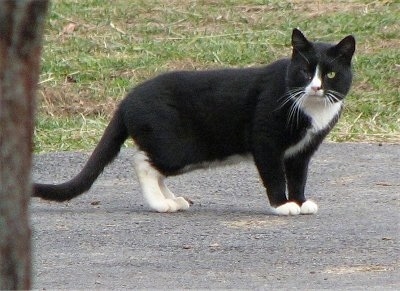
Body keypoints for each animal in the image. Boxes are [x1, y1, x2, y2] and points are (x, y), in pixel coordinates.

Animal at [32, 29, 354, 217]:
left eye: (331, 74)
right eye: (304, 71)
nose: (315, 87)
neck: (312, 109)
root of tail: (126, 99)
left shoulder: (303, 151)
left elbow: (299, 176)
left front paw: (300, 201)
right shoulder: (265, 140)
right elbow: (274, 175)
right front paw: (283, 206)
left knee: (153, 166)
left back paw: (173, 200)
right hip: (178, 149)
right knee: (142, 161)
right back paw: (160, 204)